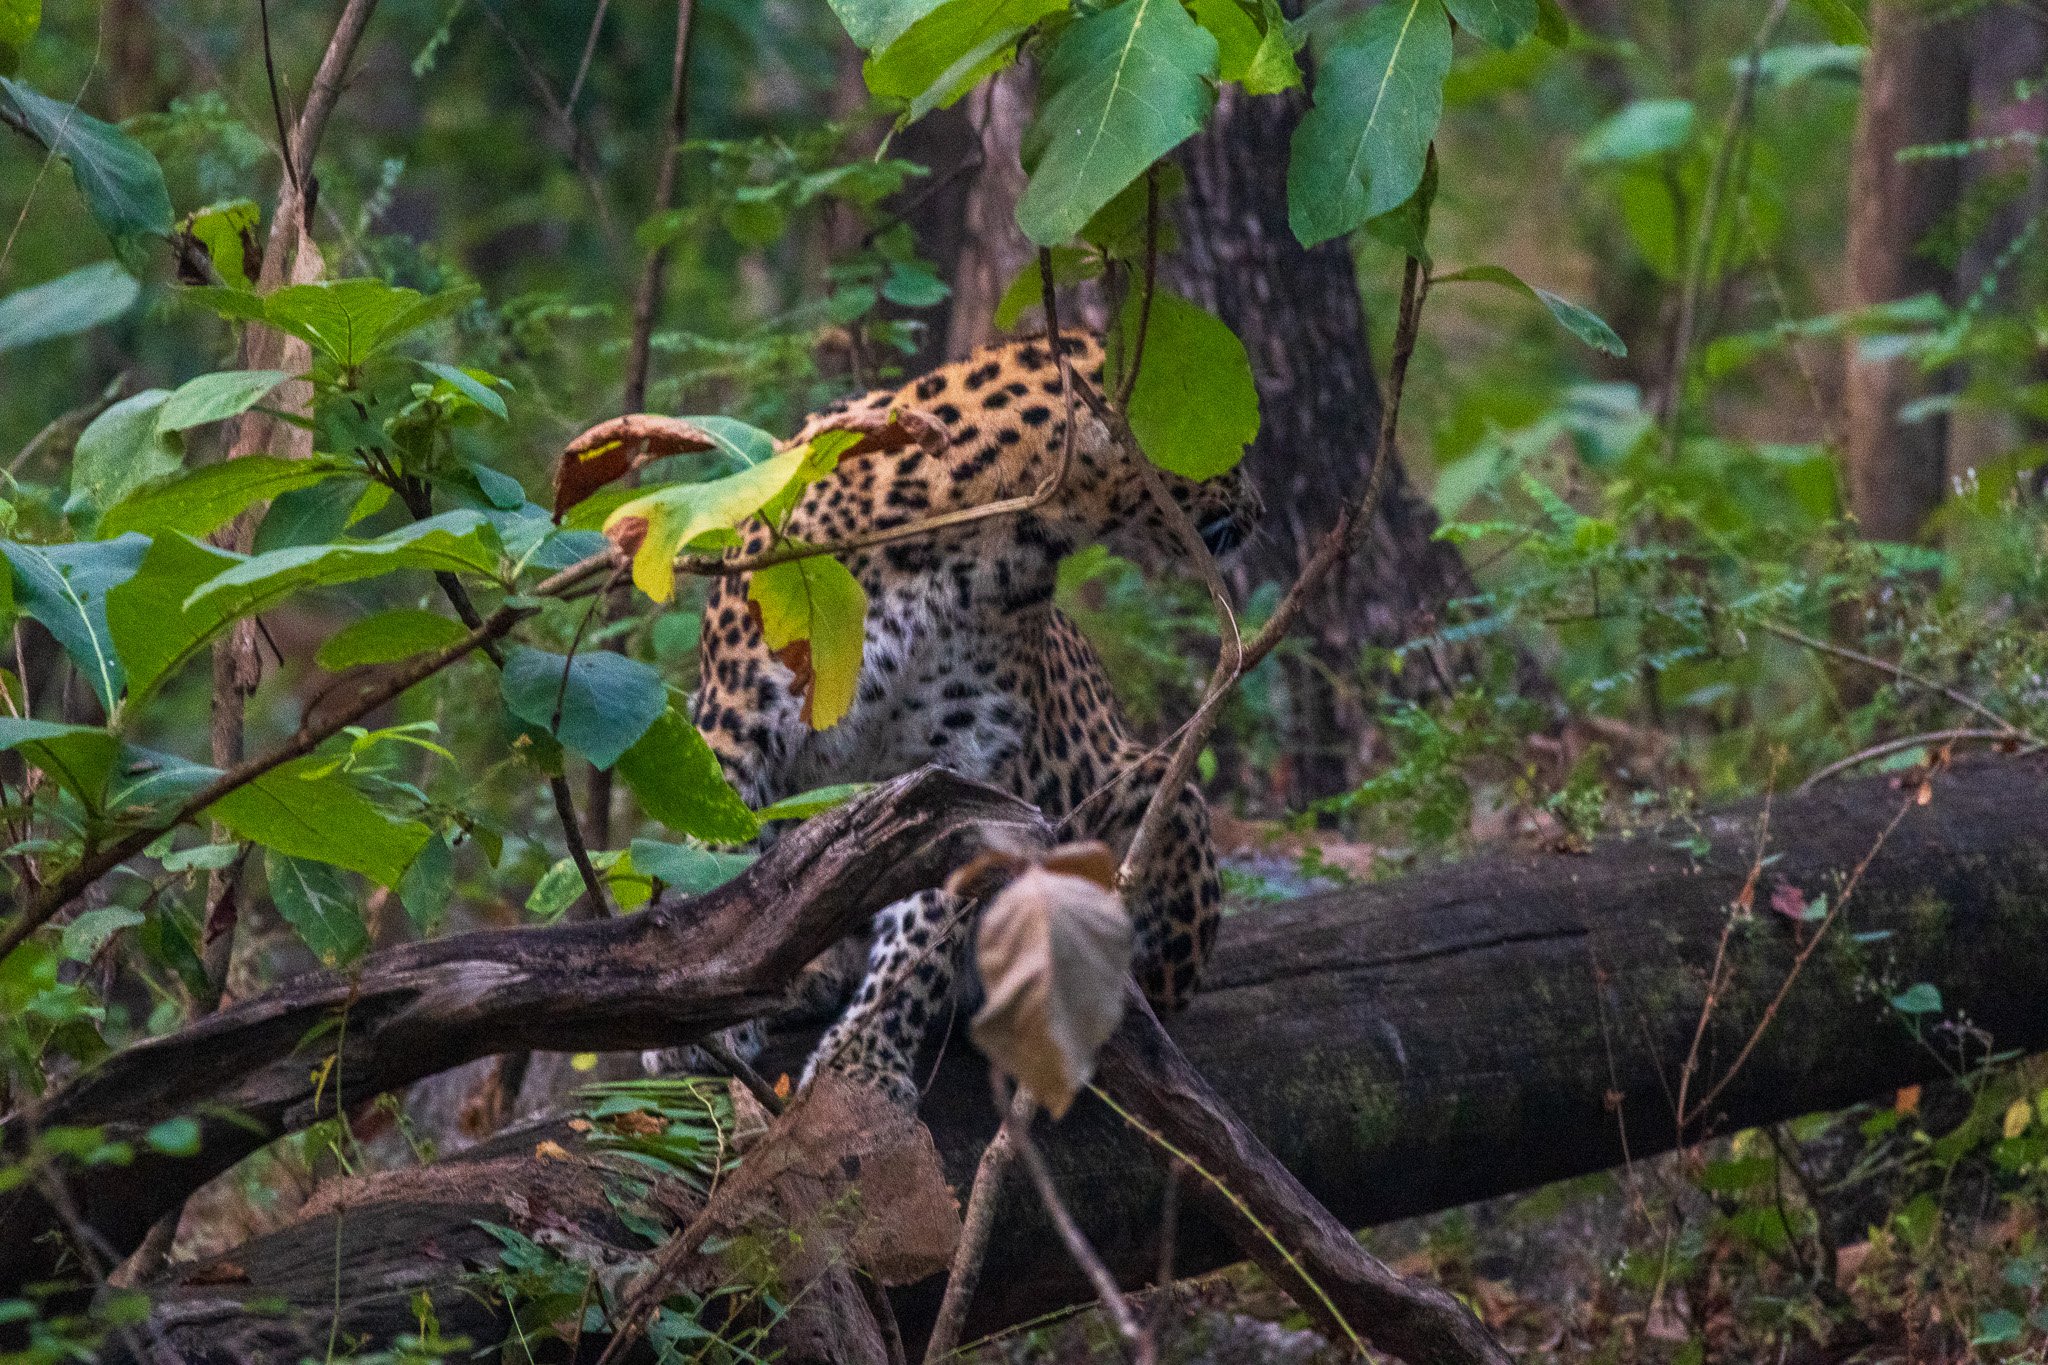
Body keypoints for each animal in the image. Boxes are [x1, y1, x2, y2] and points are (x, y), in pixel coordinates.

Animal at [696, 331, 1253, 1113]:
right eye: (1228, 445)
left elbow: (922, 932)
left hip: (1161, 799)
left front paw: (862, 1066)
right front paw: (703, 1029)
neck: (975, 532)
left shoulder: (957, 770)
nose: (1260, 511)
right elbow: (711, 868)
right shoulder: (736, 719)